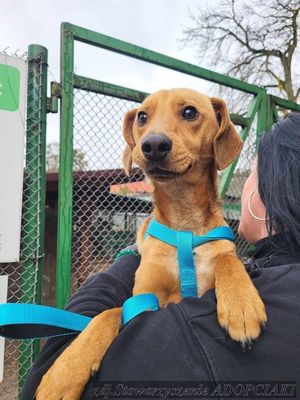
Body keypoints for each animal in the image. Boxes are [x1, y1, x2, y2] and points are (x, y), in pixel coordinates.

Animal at [37, 90, 268, 400]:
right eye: (142, 117)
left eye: (190, 112)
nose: (153, 145)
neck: (184, 223)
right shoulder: (144, 298)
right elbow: (111, 312)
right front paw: (63, 374)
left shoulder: (218, 255)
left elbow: (227, 259)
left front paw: (242, 305)